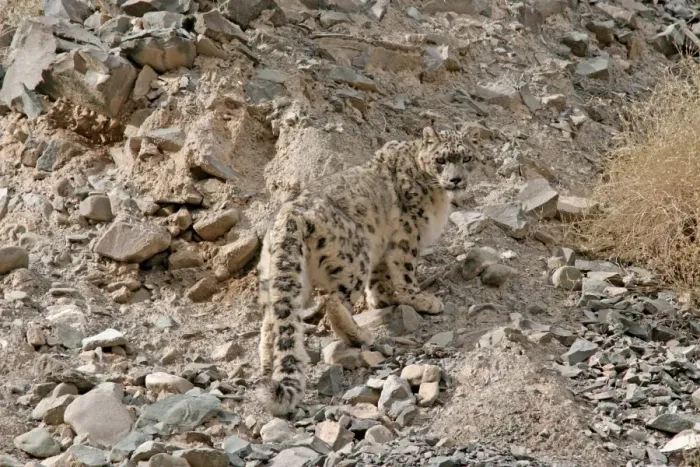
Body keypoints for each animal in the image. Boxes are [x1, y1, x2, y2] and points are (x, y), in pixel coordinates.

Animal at [257, 126, 477, 416]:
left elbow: (381, 277)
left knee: (271, 322)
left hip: (283, 277)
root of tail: (289, 215)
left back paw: (266, 367)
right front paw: (422, 299)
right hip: (354, 256)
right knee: (334, 302)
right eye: (441, 160)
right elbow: (405, 270)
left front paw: (382, 298)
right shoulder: (407, 235)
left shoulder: (381, 246)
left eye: (466, 158)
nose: (455, 180)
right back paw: (360, 335)